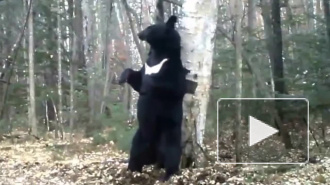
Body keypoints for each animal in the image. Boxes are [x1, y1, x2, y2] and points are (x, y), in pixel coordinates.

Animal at [118, 15, 196, 181]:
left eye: (150, 27)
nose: (140, 33)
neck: (159, 54)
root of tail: (154, 156)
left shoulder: (172, 68)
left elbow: (172, 86)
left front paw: (149, 85)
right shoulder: (146, 66)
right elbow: (136, 77)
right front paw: (122, 78)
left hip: (169, 134)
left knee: (172, 154)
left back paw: (167, 175)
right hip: (140, 136)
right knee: (135, 152)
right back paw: (132, 171)